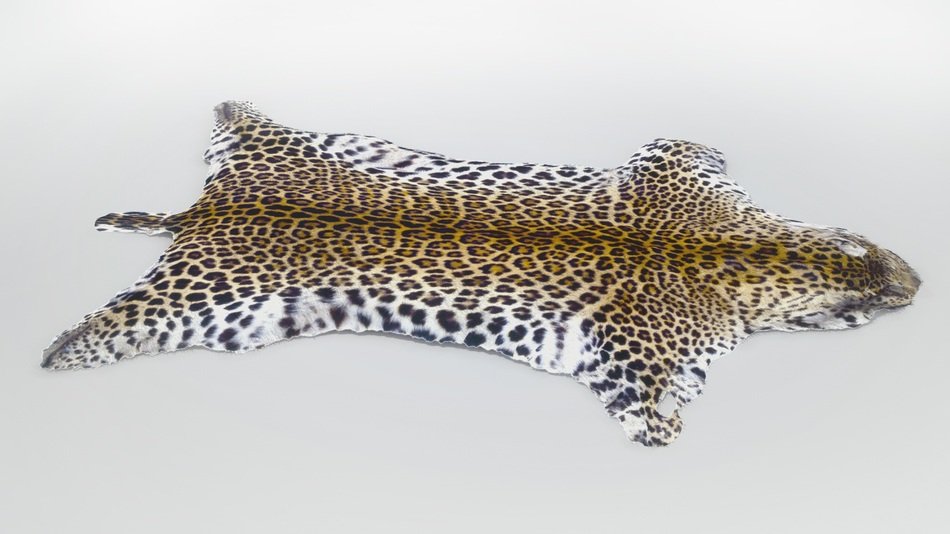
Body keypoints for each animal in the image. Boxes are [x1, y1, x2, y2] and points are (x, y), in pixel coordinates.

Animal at [41, 101, 921, 446]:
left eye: (887, 261)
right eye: (872, 303)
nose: (918, 286)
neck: (743, 251)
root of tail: (205, 209)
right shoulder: (630, 360)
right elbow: (652, 419)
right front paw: (672, 425)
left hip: (302, 146)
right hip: (207, 303)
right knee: (102, 330)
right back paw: (62, 348)